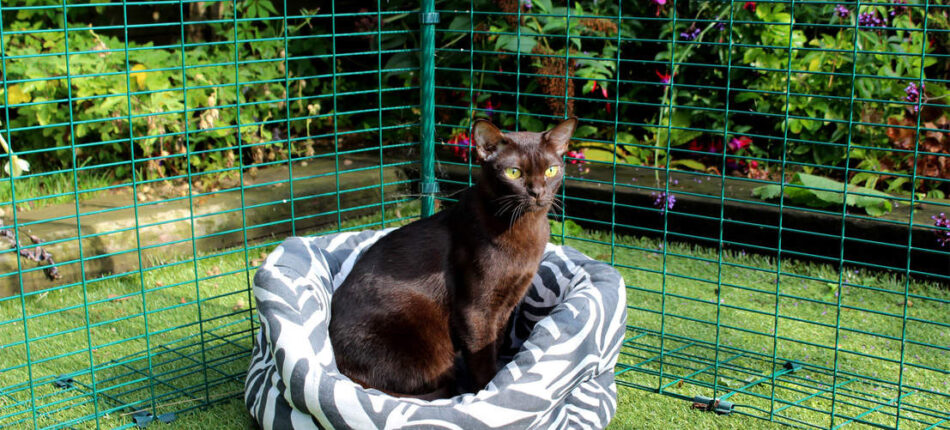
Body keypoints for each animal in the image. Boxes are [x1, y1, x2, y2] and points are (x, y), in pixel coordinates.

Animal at [330, 118, 576, 400]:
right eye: (513, 173)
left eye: (551, 170)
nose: (537, 192)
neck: (524, 227)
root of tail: (342, 368)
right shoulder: (476, 310)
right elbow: (482, 356)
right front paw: (487, 391)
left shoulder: (506, 304)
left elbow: (495, 342)